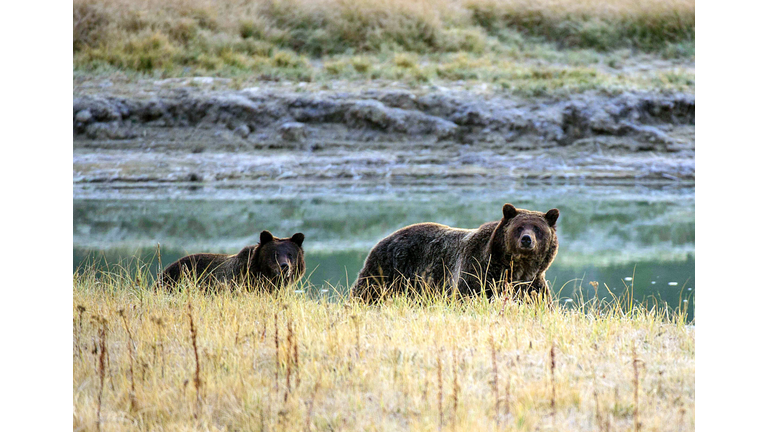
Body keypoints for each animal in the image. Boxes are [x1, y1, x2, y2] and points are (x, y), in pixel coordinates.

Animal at [350, 204, 560, 302]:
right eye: (519, 227)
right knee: (367, 292)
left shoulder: (532, 285)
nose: (526, 239)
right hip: (387, 270)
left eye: (537, 228)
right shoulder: (478, 272)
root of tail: (384, 238)